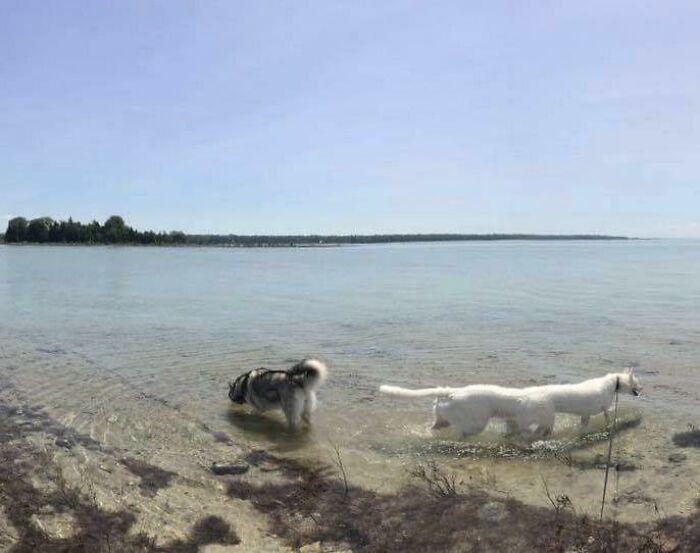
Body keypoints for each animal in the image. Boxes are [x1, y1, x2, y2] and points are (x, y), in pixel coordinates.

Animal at [380, 368, 644, 438]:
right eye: (637, 383)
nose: (642, 391)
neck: (611, 384)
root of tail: (451, 392)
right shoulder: (598, 408)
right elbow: (606, 415)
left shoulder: (589, 413)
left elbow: (594, 420)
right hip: (480, 421)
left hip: (443, 414)